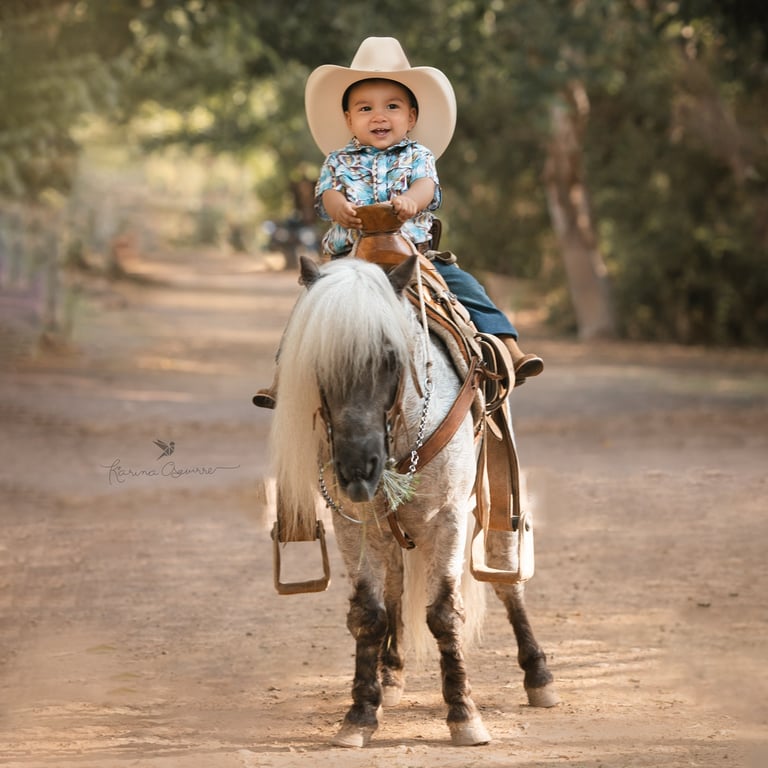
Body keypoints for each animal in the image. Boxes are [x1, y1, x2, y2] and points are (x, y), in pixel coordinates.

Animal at [269, 253, 558, 747]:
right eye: (315, 359)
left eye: (390, 357)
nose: (357, 466)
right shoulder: (352, 523)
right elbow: (369, 613)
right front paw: (360, 714)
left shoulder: (448, 516)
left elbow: (444, 615)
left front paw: (463, 715)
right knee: (395, 587)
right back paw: (390, 675)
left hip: (494, 496)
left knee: (506, 575)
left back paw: (538, 675)